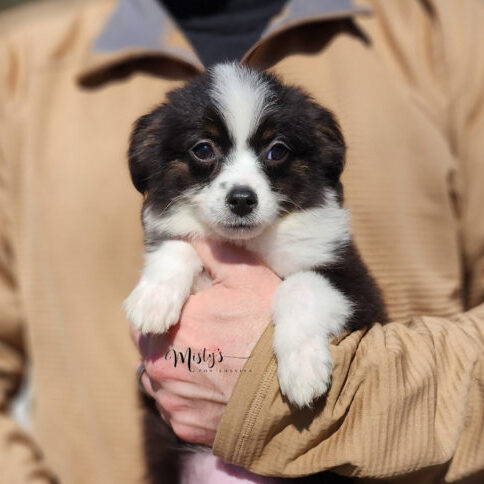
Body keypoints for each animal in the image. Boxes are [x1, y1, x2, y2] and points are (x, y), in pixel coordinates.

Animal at [124, 64, 386, 484]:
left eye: (276, 150)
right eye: (203, 149)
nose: (242, 200)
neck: (250, 245)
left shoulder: (356, 284)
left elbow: (300, 285)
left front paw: (303, 370)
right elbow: (179, 244)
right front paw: (152, 300)